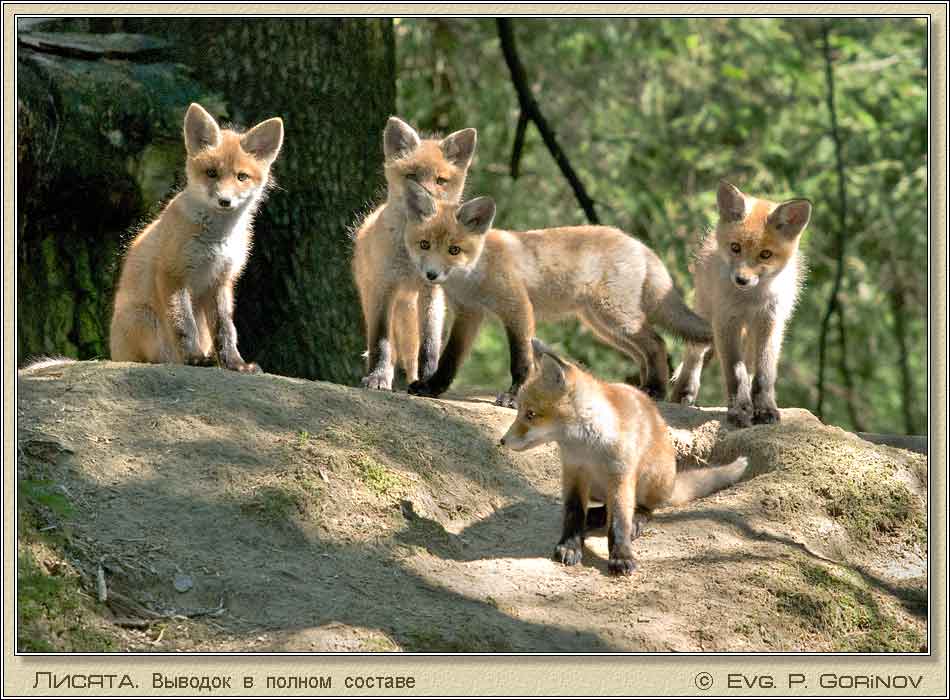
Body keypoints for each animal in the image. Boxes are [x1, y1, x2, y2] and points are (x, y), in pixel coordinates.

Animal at [110, 103, 283, 371]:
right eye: (211, 173)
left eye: (241, 177)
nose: (225, 201)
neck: (215, 240)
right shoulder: (173, 273)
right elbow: (183, 324)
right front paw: (195, 358)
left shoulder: (221, 281)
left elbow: (226, 330)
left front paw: (236, 364)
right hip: (144, 319)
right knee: (156, 356)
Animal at [351, 117, 477, 391]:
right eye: (411, 176)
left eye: (440, 180)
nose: (427, 198)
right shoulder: (384, 288)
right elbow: (381, 342)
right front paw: (378, 377)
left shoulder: (432, 292)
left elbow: (429, 345)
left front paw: (427, 381)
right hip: (375, 299)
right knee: (387, 347)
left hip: (410, 309)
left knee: (411, 355)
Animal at [400, 182, 713, 406]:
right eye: (424, 244)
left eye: (454, 250)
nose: (431, 275)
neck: (475, 274)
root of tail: (639, 244)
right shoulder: (469, 315)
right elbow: (450, 359)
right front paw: (432, 387)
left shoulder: (517, 308)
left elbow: (521, 361)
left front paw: (514, 396)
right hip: (603, 325)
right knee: (645, 351)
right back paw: (643, 390)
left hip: (616, 317)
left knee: (658, 343)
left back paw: (656, 390)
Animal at [501, 340, 748, 576]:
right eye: (520, 411)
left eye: (530, 414)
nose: (502, 441)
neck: (588, 448)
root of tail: (670, 485)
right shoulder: (573, 472)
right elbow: (573, 512)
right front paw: (570, 545)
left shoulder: (621, 475)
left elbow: (619, 521)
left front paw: (621, 555)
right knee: (602, 510)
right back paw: (594, 517)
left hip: (649, 478)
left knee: (645, 508)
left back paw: (636, 518)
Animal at [670, 181, 812, 428]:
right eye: (735, 247)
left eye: (766, 254)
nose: (741, 280)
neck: (751, 300)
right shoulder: (726, 322)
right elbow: (735, 373)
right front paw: (739, 409)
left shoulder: (770, 322)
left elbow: (764, 374)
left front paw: (764, 408)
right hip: (706, 313)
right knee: (694, 355)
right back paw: (684, 391)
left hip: (751, 332)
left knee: (750, 365)